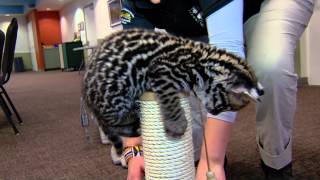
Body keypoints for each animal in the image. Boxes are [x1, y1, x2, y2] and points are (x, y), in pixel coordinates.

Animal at [82, 28, 262, 156]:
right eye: (224, 106)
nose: (214, 113)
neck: (201, 63)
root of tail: (87, 95)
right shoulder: (162, 70)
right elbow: (170, 100)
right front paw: (177, 125)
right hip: (117, 99)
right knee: (111, 123)